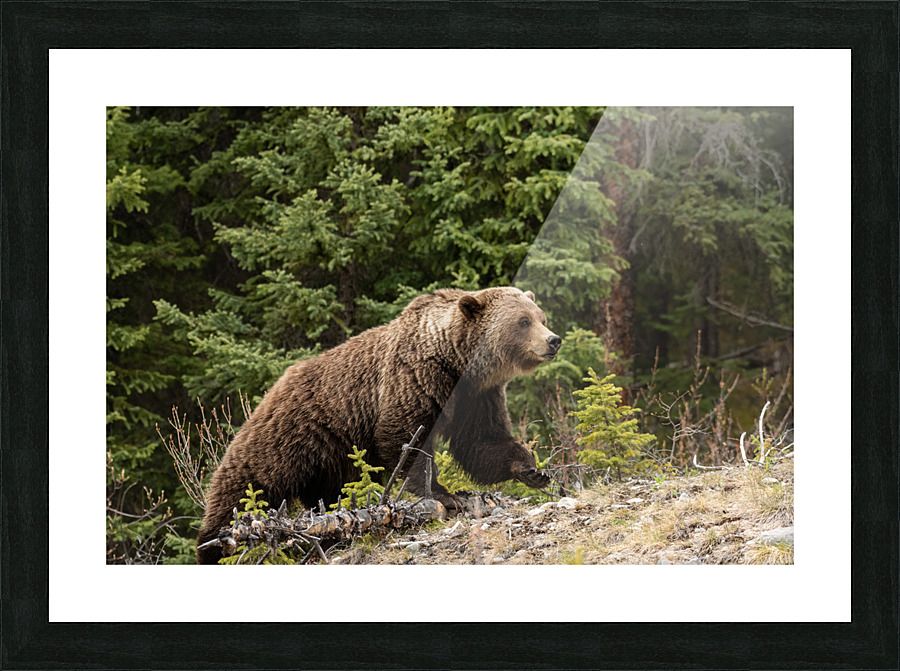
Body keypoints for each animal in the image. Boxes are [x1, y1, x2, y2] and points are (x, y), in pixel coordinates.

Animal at [196, 286, 561, 564]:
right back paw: (214, 546)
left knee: (328, 493)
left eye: (541, 317)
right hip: (290, 433)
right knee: (246, 483)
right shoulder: (416, 380)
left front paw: (532, 469)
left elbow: (482, 441)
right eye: (523, 321)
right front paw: (442, 494)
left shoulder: (477, 395)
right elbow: (406, 439)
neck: (457, 362)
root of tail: (274, 386)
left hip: (332, 454)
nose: (554, 340)